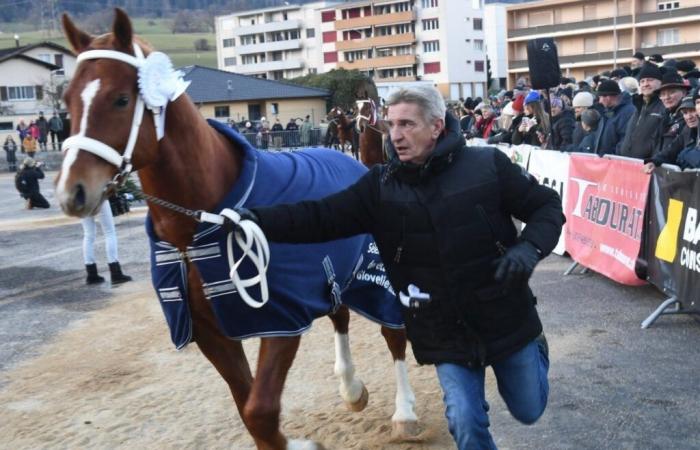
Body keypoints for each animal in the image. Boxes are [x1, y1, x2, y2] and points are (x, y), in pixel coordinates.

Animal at [56, 9, 416, 450]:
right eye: (67, 101)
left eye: (121, 99)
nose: (72, 190)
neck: (200, 227)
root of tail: (357, 166)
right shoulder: (211, 334)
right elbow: (250, 412)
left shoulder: (280, 322)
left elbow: (261, 411)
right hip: (333, 276)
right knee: (341, 316)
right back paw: (350, 388)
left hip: (373, 277)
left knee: (393, 336)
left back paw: (404, 413)